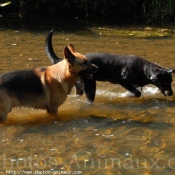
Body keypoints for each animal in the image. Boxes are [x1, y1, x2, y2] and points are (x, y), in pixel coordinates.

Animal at [45, 29, 175, 102]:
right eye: (164, 81)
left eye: (170, 81)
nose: (172, 93)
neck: (143, 70)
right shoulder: (123, 80)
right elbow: (137, 93)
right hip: (90, 85)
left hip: (79, 86)